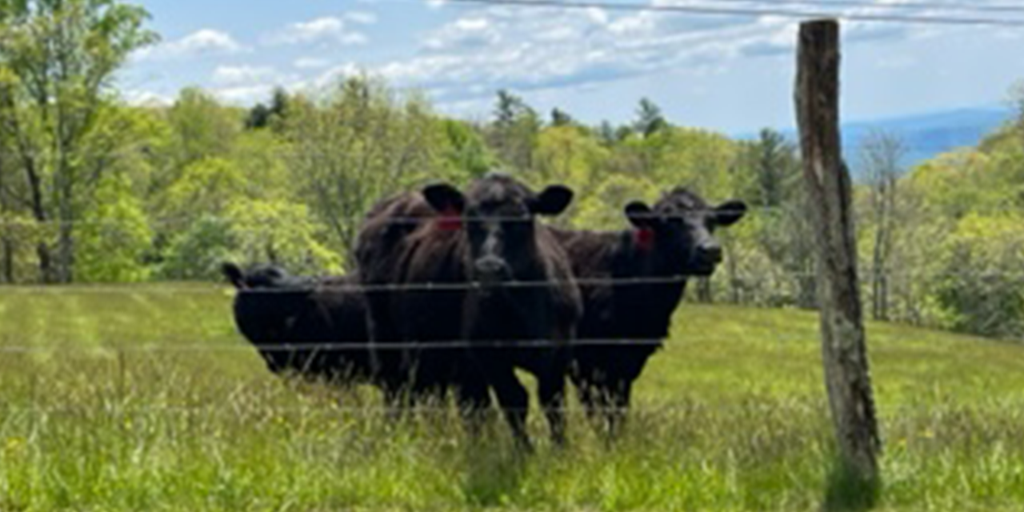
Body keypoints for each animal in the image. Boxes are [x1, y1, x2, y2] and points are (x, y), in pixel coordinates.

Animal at [356, 173, 582, 451]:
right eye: (469, 220)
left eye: (520, 218)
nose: (489, 268)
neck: (519, 313)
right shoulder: (488, 354)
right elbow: (514, 399)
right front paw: (524, 451)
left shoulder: (558, 352)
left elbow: (553, 402)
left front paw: (560, 449)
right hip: (388, 339)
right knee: (399, 390)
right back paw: (399, 435)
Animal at [548, 187, 747, 437]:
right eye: (671, 221)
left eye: (712, 221)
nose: (710, 250)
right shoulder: (585, 362)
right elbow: (596, 410)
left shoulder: (629, 361)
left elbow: (618, 409)